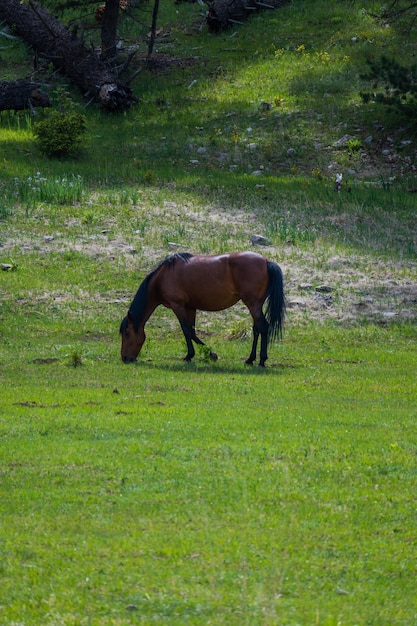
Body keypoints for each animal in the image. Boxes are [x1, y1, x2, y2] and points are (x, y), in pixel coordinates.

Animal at [118, 250, 284, 366]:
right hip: (255, 305)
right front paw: (201, 354)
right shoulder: (190, 307)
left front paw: (198, 355)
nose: (125, 358)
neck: (163, 276)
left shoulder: (177, 305)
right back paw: (250, 359)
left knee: (263, 327)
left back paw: (261, 360)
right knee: (257, 329)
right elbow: (192, 331)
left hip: (252, 304)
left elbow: (186, 330)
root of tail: (266, 261)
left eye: (127, 333)